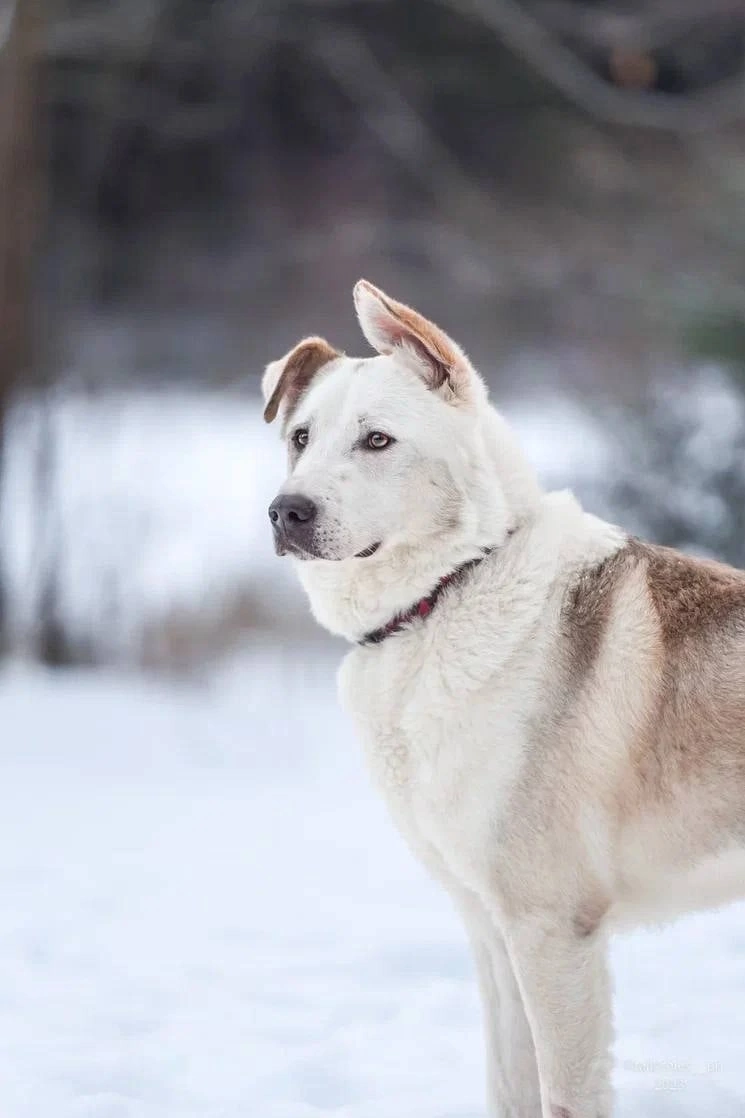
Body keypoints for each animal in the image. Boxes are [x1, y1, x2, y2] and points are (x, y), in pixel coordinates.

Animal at [259, 281, 742, 1118]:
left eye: (377, 441)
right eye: (299, 437)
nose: (286, 512)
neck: (446, 593)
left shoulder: (551, 929)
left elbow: (564, 1096)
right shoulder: (490, 929)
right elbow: (509, 1089)